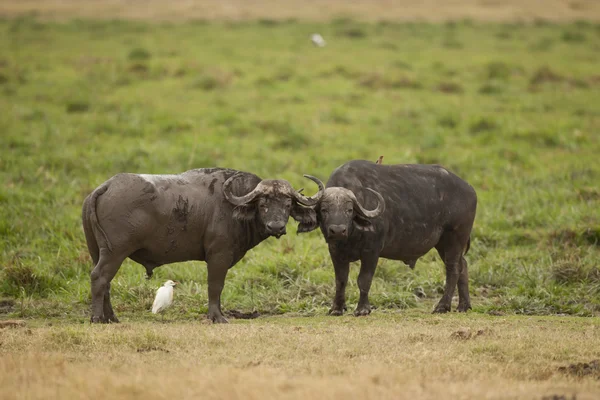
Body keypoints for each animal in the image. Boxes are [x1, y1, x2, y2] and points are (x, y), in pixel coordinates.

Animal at [83, 167, 324, 324]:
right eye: (263, 204)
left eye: (287, 204)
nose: (276, 226)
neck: (233, 207)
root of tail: (106, 186)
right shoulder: (218, 256)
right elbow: (215, 286)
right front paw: (217, 317)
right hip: (115, 253)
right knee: (99, 278)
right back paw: (97, 318)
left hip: (98, 252)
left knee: (105, 282)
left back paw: (111, 318)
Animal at [296, 159, 478, 316]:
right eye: (324, 210)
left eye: (349, 210)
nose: (338, 230)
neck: (351, 234)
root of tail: (470, 190)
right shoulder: (335, 251)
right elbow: (340, 280)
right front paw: (336, 309)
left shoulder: (371, 251)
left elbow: (364, 280)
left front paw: (363, 309)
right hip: (442, 244)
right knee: (463, 265)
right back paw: (463, 306)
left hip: (454, 238)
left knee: (453, 269)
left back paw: (442, 306)